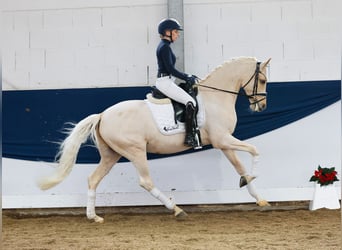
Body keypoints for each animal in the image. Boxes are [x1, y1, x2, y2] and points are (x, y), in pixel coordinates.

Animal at [38, 56, 270, 223]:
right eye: (263, 80)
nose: (261, 106)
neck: (215, 98)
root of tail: (103, 115)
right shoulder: (223, 139)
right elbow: (254, 150)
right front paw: (253, 177)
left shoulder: (223, 142)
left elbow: (240, 167)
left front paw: (258, 197)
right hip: (135, 151)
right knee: (145, 182)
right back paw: (176, 209)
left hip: (111, 154)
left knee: (93, 179)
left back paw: (93, 216)